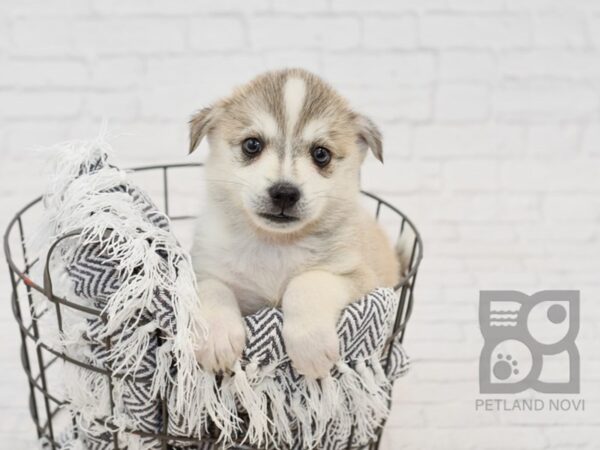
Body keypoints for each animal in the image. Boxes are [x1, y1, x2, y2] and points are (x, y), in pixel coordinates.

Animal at [190, 68, 400, 380]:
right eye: (252, 145)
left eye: (321, 154)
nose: (284, 193)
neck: (276, 244)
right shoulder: (201, 269)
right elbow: (212, 288)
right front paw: (216, 336)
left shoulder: (359, 277)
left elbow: (307, 282)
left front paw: (310, 345)